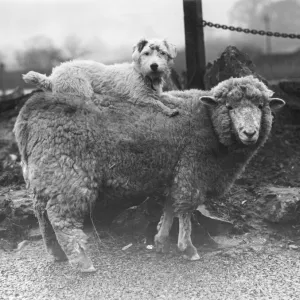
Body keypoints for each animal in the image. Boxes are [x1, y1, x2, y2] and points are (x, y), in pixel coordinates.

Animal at [13, 75, 286, 272]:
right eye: (229, 107)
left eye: (261, 106)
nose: (249, 132)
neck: (209, 124)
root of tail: (29, 113)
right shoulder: (191, 170)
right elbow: (184, 210)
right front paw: (187, 248)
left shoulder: (174, 171)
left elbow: (169, 206)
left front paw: (161, 240)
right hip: (67, 174)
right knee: (59, 218)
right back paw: (82, 262)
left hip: (43, 174)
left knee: (41, 213)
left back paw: (56, 253)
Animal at [22, 37, 180, 117]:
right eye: (146, 53)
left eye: (162, 53)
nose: (154, 65)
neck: (142, 74)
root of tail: (52, 78)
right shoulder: (140, 98)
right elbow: (157, 103)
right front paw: (169, 110)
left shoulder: (157, 93)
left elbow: (168, 97)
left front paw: (176, 101)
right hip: (80, 86)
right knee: (88, 101)